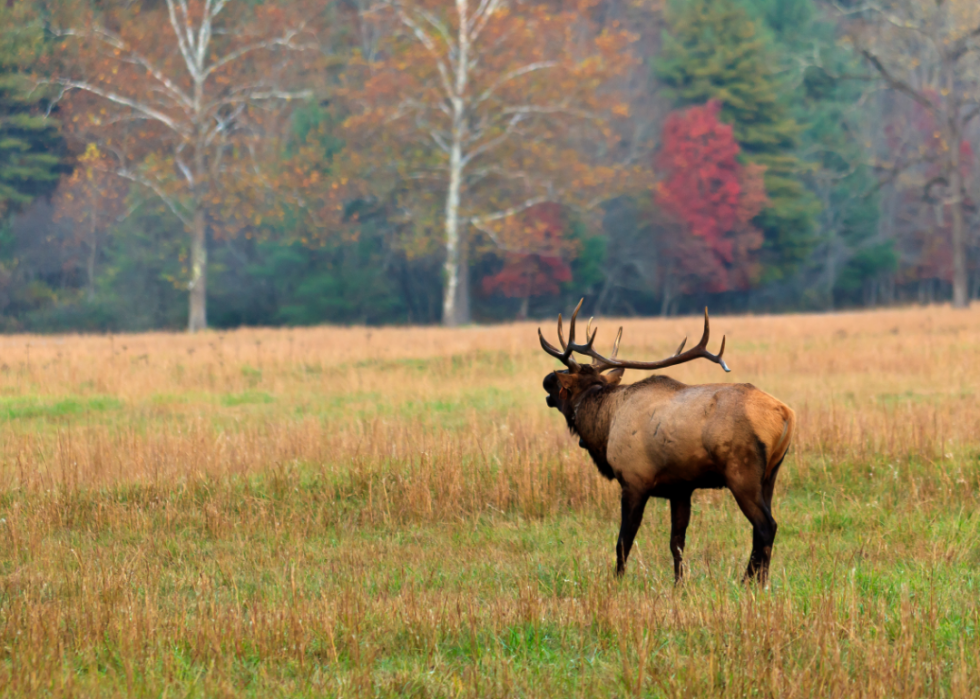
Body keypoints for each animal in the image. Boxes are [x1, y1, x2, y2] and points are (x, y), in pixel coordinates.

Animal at [536, 300, 796, 584]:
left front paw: (617, 582)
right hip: (770, 474)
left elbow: (623, 542)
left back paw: (748, 582)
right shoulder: (680, 488)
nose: (546, 378)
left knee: (766, 525)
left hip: (742, 472)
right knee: (763, 528)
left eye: (561, 378)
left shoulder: (634, 480)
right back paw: (761, 581)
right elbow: (677, 543)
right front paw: (679, 584)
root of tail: (786, 414)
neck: (604, 425)